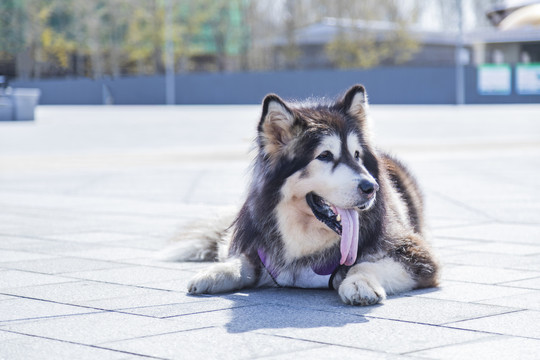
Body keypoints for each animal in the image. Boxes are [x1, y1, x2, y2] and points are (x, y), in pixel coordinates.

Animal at [165, 85, 438, 306]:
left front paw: (359, 283)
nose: (371, 187)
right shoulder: (257, 248)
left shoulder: (418, 255)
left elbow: (364, 265)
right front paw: (215, 272)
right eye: (325, 155)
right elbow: (242, 261)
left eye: (357, 155)